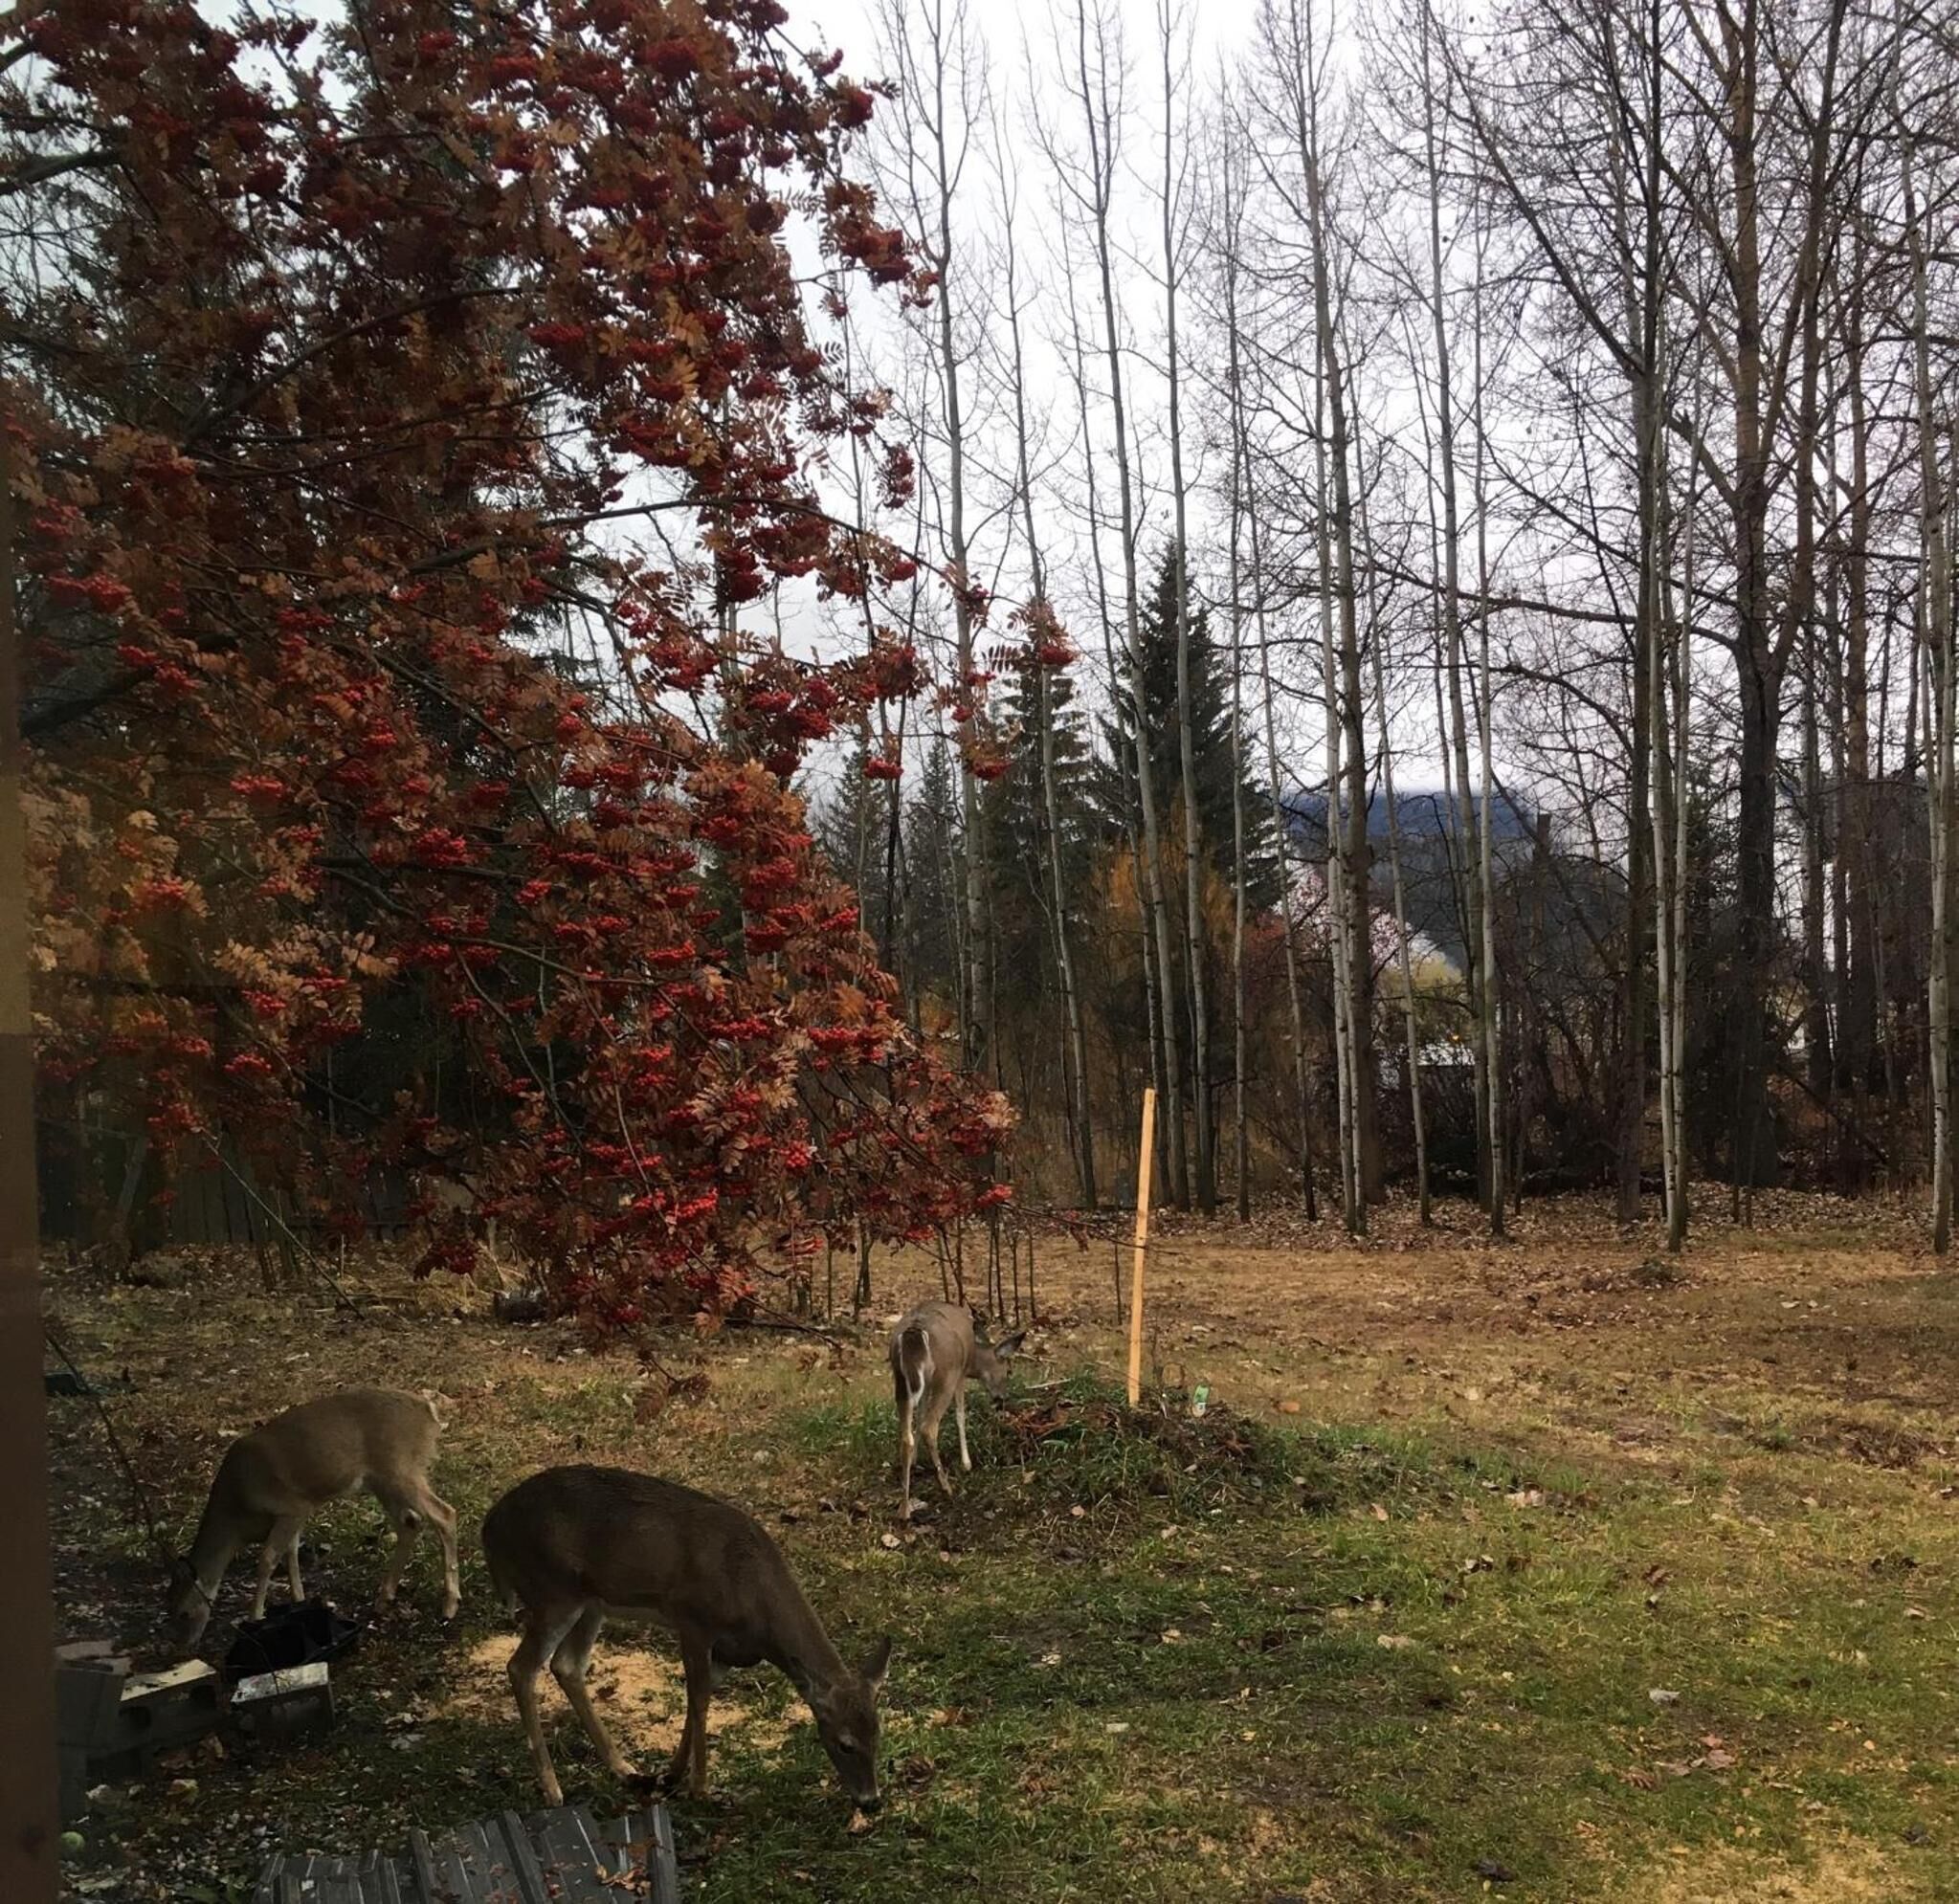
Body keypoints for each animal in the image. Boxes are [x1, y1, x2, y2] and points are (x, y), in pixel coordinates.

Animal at [165, 1387, 461, 1650]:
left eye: (183, 1613)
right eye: (168, 1611)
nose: (182, 1646)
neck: (237, 1516)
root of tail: (429, 1412)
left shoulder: (292, 1506)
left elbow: (268, 1559)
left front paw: (255, 1617)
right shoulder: (295, 1515)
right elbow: (292, 1553)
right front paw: (300, 1601)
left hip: (401, 1469)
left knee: (445, 1514)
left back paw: (449, 1606)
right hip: (382, 1480)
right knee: (409, 1524)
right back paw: (384, 1598)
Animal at [482, 1464, 892, 1810]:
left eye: (878, 1734)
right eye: (845, 1744)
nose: (871, 1801)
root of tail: (491, 1526)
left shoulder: (726, 1651)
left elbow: (698, 1700)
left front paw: (671, 1774)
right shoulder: (694, 1621)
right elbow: (699, 1700)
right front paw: (701, 1788)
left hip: (591, 1602)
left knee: (567, 1665)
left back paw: (623, 1768)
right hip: (553, 1591)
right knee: (521, 1668)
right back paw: (553, 1789)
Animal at [889, 1301, 1024, 1519]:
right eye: (1009, 1371)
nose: (1002, 1399)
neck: (973, 1356)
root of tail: (915, 1332)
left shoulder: (927, 1383)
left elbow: (920, 1415)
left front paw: (916, 1459)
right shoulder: (960, 1374)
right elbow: (960, 1415)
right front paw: (966, 1463)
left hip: (901, 1378)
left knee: (907, 1436)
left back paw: (904, 1508)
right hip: (947, 1375)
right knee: (930, 1427)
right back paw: (946, 1486)